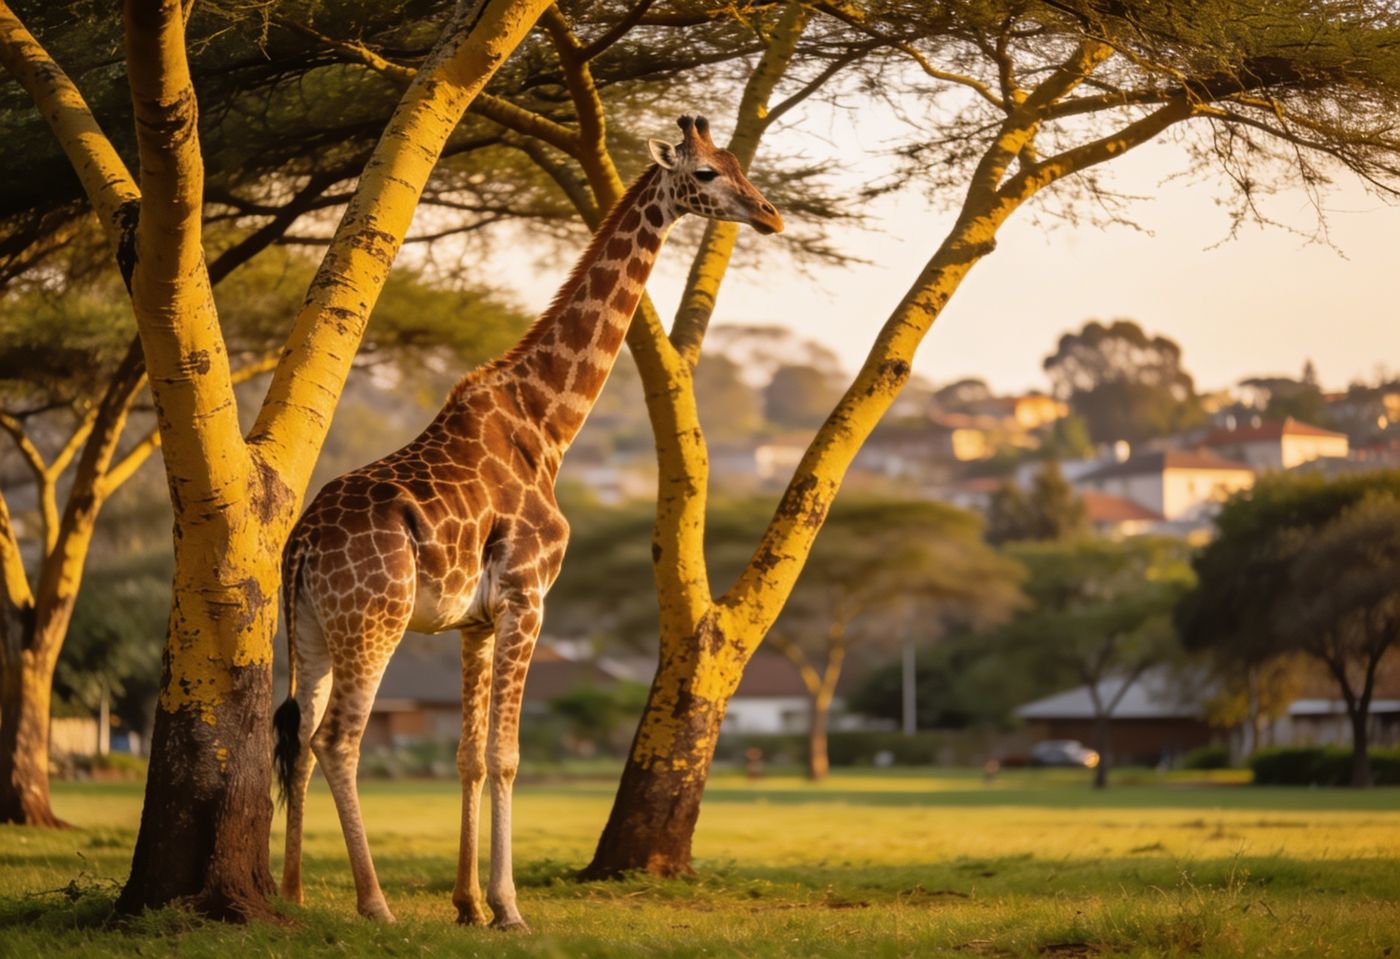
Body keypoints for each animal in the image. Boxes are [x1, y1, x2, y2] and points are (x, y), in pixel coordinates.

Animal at [272, 114, 783, 930]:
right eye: (705, 173)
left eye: (737, 163)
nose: (769, 214)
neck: (547, 423)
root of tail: (299, 547)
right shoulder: (528, 595)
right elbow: (508, 755)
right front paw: (509, 908)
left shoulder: (476, 621)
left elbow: (468, 755)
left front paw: (468, 904)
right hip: (375, 619)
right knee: (338, 739)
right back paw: (374, 902)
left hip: (313, 628)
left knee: (293, 729)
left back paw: (289, 894)